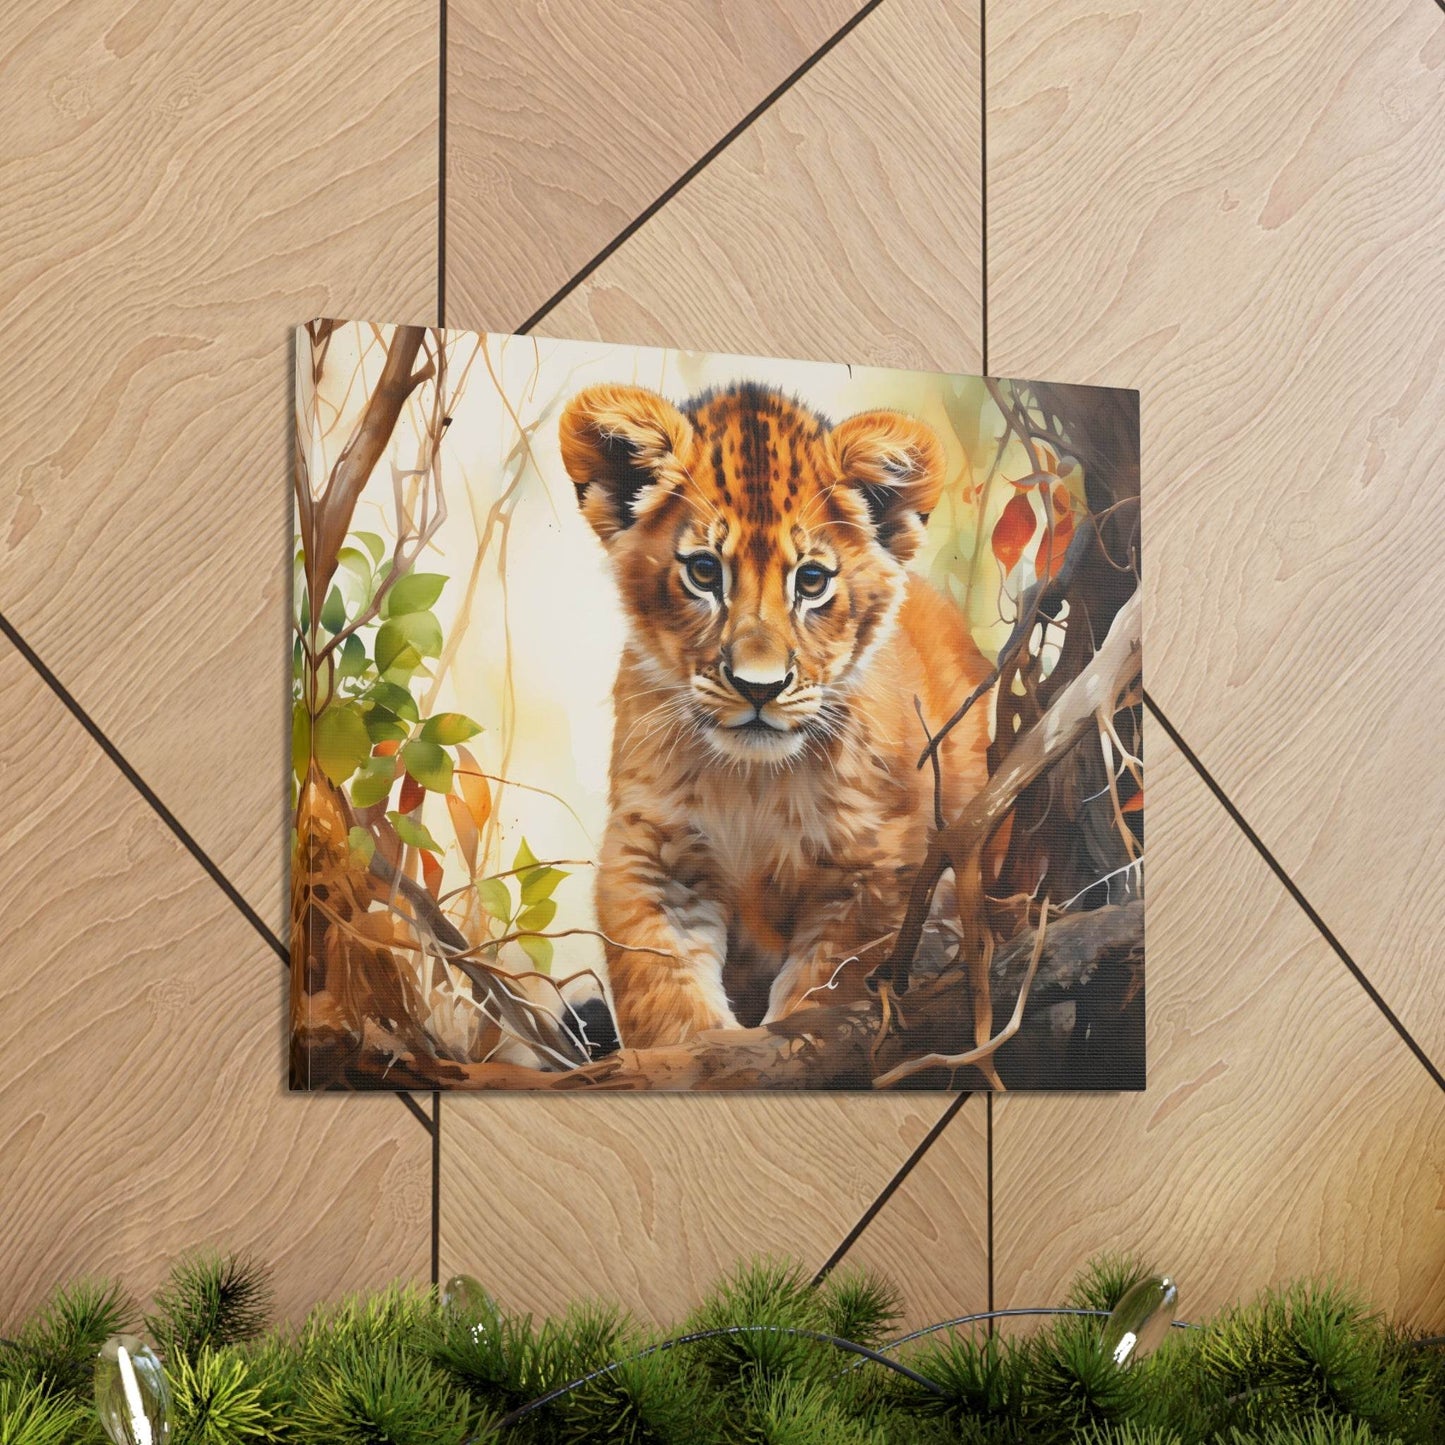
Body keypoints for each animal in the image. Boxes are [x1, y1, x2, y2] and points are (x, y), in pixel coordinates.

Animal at [558, 381, 993, 1050]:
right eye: (704, 571)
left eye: (811, 581)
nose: (757, 688)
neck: (752, 783)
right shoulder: (652, 854)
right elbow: (663, 992)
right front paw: (698, 1052)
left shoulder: (875, 869)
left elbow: (826, 991)